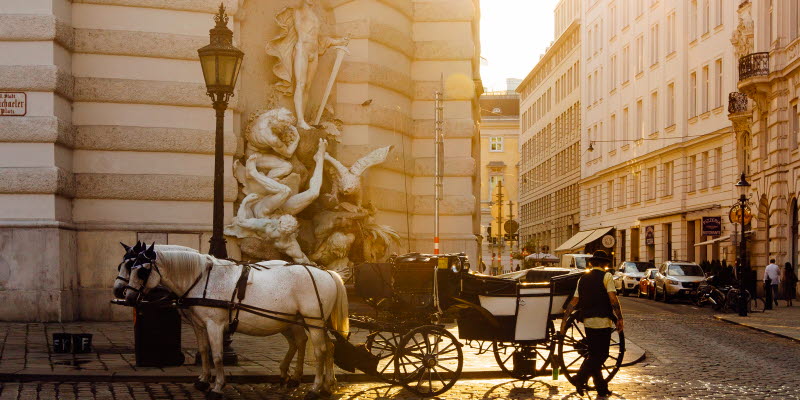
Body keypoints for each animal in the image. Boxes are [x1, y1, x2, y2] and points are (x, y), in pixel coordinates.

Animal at [125, 245, 346, 398]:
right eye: (129, 267)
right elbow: (204, 352)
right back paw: (326, 385)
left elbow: (217, 356)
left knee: (320, 351)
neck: (202, 279)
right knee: (324, 346)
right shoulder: (200, 325)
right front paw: (203, 380)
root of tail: (326, 272)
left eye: (141, 271)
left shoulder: (214, 325)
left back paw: (315, 388)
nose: (126, 297)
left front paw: (217, 387)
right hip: (303, 322)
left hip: (313, 322)